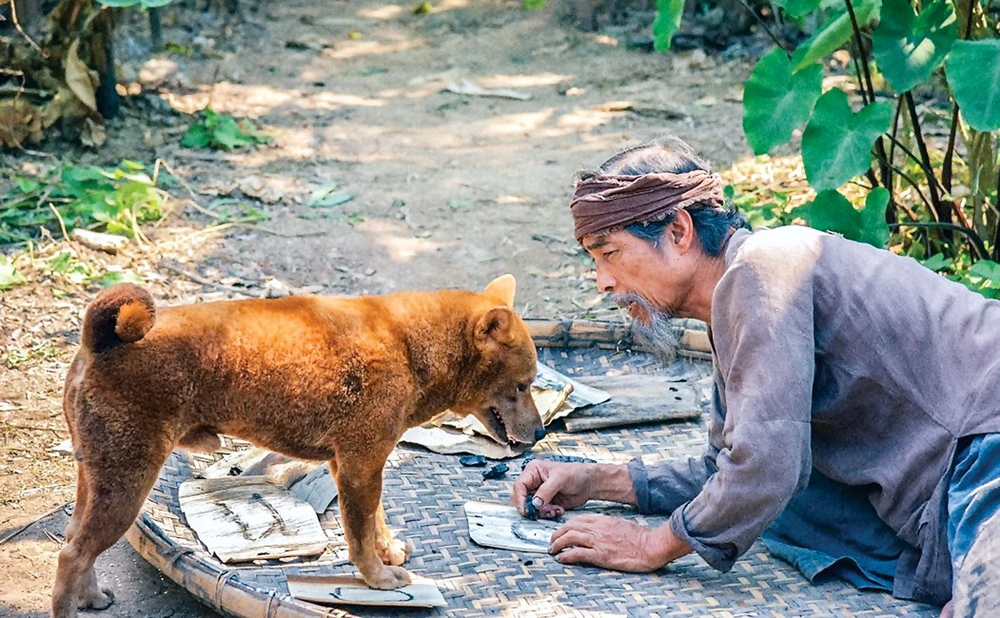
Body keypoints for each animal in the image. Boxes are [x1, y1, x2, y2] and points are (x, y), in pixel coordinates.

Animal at [52, 276, 540, 616]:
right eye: (522, 385)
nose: (539, 433)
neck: (409, 347)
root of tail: (99, 339)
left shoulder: (359, 463)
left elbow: (376, 521)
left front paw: (387, 552)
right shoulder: (359, 463)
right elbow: (359, 537)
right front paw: (379, 578)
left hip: (96, 478)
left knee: (76, 543)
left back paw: (92, 598)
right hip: (127, 482)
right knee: (71, 555)